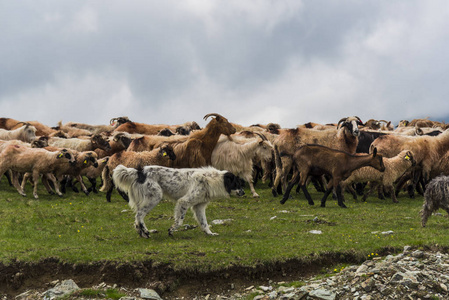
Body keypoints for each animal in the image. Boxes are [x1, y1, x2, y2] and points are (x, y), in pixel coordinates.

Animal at [112, 164, 245, 237]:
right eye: (237, 184)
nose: (244, 193)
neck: (212, 179)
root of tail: (139, 171)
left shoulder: (199, 206)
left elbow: (204, 223)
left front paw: (210, 233)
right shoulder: (183, 201)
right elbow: (179, 221)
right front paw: (171, 230)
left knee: (137, 218)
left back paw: (143, 233)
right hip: (155, 196)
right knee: (139, 215)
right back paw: (145, 231)